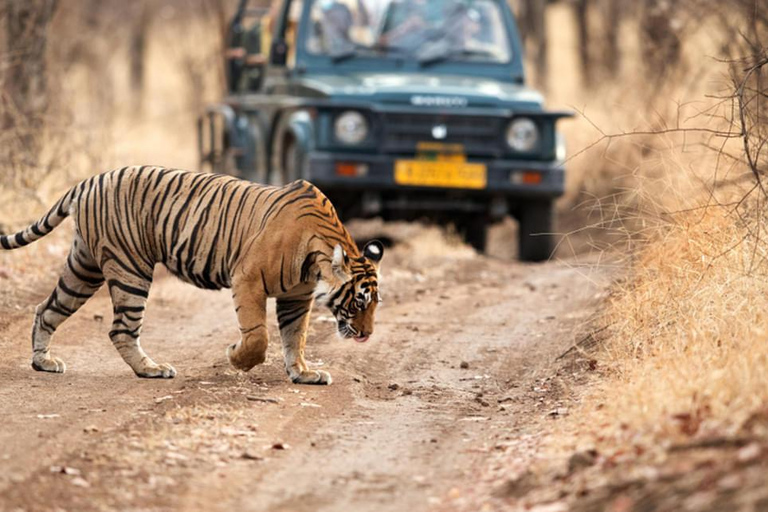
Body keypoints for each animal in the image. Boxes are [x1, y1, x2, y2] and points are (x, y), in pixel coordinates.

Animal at [0, 166, 384, 386]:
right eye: (359, 301)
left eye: (375, 304)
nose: (367, 335)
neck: (316, 261)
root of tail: (90, 180)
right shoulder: (247, 279)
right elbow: (258, 336)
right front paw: (236, 357)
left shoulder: (296, 297)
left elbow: (295, 337)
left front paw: (303, 373)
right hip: (130, 269)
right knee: (120, 329)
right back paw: (151, 369)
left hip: (85, 267)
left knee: (46, 309)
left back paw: (43, 362)